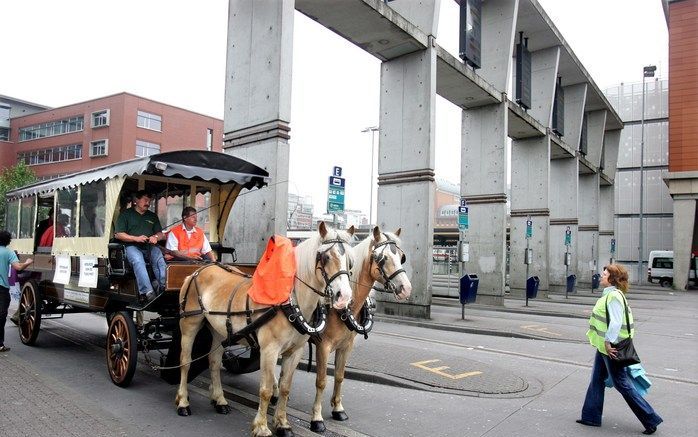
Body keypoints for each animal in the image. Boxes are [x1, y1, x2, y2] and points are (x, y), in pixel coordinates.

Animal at [172, 223, 356, 434]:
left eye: (350, 261)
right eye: (326, 257)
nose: (344, 296)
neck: (290, 302)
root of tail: (197, 271)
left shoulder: (295, 351)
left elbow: (284, 388)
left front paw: (282, 423)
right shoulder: (269, 349)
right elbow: (266, 390)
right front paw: (261, 427)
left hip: (218, 330)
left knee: (214, 362)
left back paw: (220, 400)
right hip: (189, 324)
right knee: (185, 361)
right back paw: (183, 402)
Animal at [308, 227, 410, 430]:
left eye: (401, 257)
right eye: (383, 258)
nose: (406, 288)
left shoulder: (346, 346)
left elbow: (339, 376)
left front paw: (338, 409)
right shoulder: (323, 346)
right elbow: (321, 381)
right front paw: (317, 418)